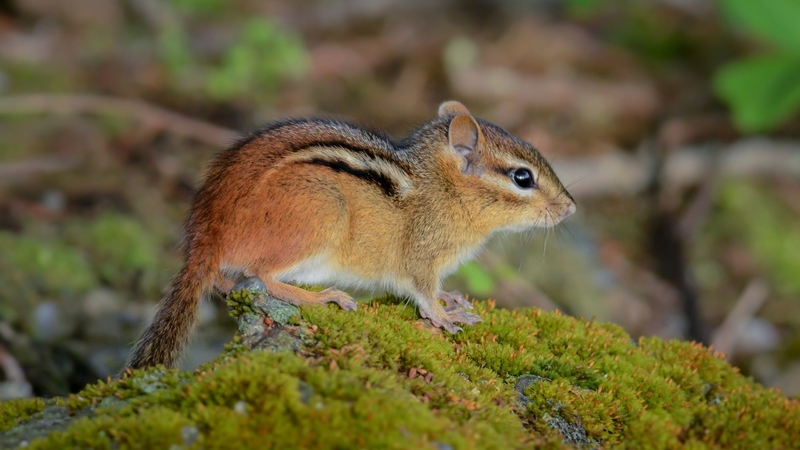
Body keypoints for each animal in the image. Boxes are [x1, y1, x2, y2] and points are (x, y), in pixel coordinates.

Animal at [125, 101, 576, 370]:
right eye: (522, 177)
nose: (571, 207)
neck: (442, 189)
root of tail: (205, 234)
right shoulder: (421, 257)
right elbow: (423, 292)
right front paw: (444, 315)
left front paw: (452, 299)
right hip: (320, 216)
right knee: (262, 277)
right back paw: (324, 297)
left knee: (226, 280)